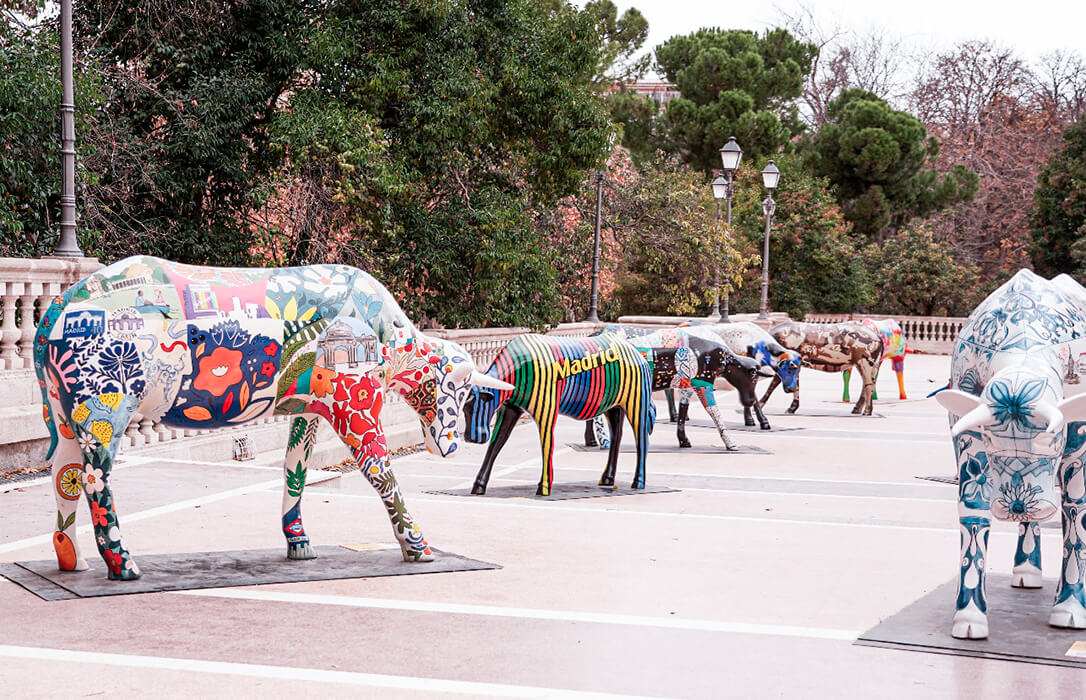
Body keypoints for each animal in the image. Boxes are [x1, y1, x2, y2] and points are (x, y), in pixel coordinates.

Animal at [35, 255, 508, 577]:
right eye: (459, 386)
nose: (451, 446)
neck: (392, 340)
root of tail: (57, 308)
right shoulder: (354, 404)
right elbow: (380, 471)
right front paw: (418, 546)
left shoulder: (309, 408)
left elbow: (294, 470)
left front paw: (298, 541)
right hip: (106, 408)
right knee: (96, 481)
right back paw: (122, 565)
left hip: (67, 413)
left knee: (64, 476)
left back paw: (71, 558)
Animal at [464, 334, 651, 494]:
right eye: (464, 408)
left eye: (476, 404)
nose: (471, 437)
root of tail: (637, 354)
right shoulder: (511, 409)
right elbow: (496, 444)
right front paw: (479, 486)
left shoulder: (547, 409)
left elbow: (546, 444)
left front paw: (544, 487)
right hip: (614, 407)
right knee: (616, 437)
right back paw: (607, 479)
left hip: (637, 403)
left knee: (642, 439)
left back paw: (638, 482)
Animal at [933, 269, 1086, 638]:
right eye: (990, 442)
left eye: (1050, 441)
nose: (1016, 505)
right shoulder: (965, 430)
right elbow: (973, 513)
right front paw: (969, 616)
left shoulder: (1079, 433)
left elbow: (1076, 509)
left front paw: (1070, 609)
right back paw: (1027, 572)